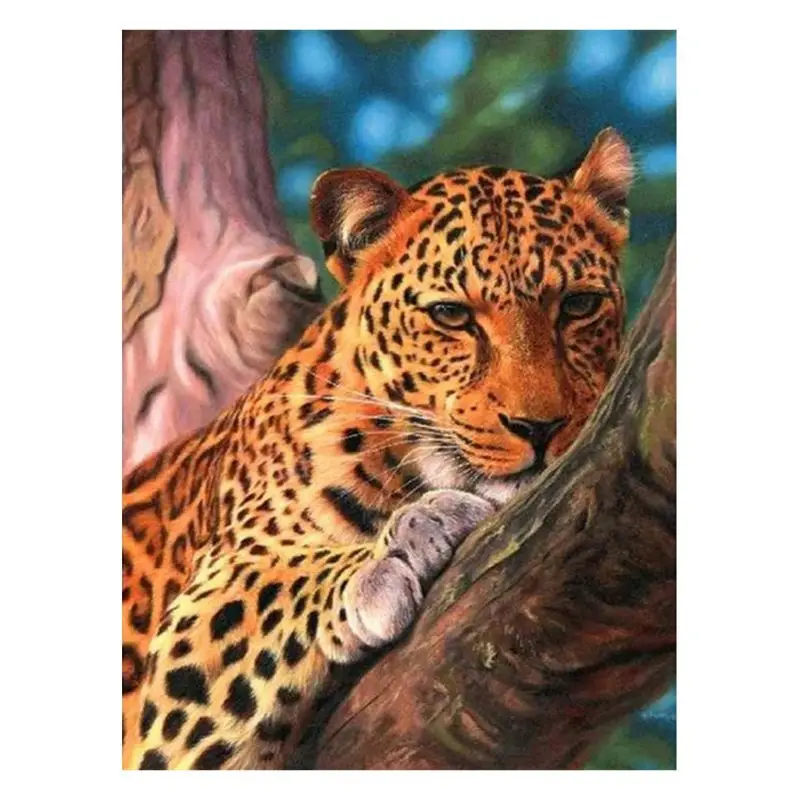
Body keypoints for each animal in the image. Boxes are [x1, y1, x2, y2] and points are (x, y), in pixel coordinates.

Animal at [122, 128, 634, 769]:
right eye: (451, 315)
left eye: (579, 305)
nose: (538, 428)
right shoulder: (192, 636)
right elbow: (279, 580)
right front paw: (401, 543)